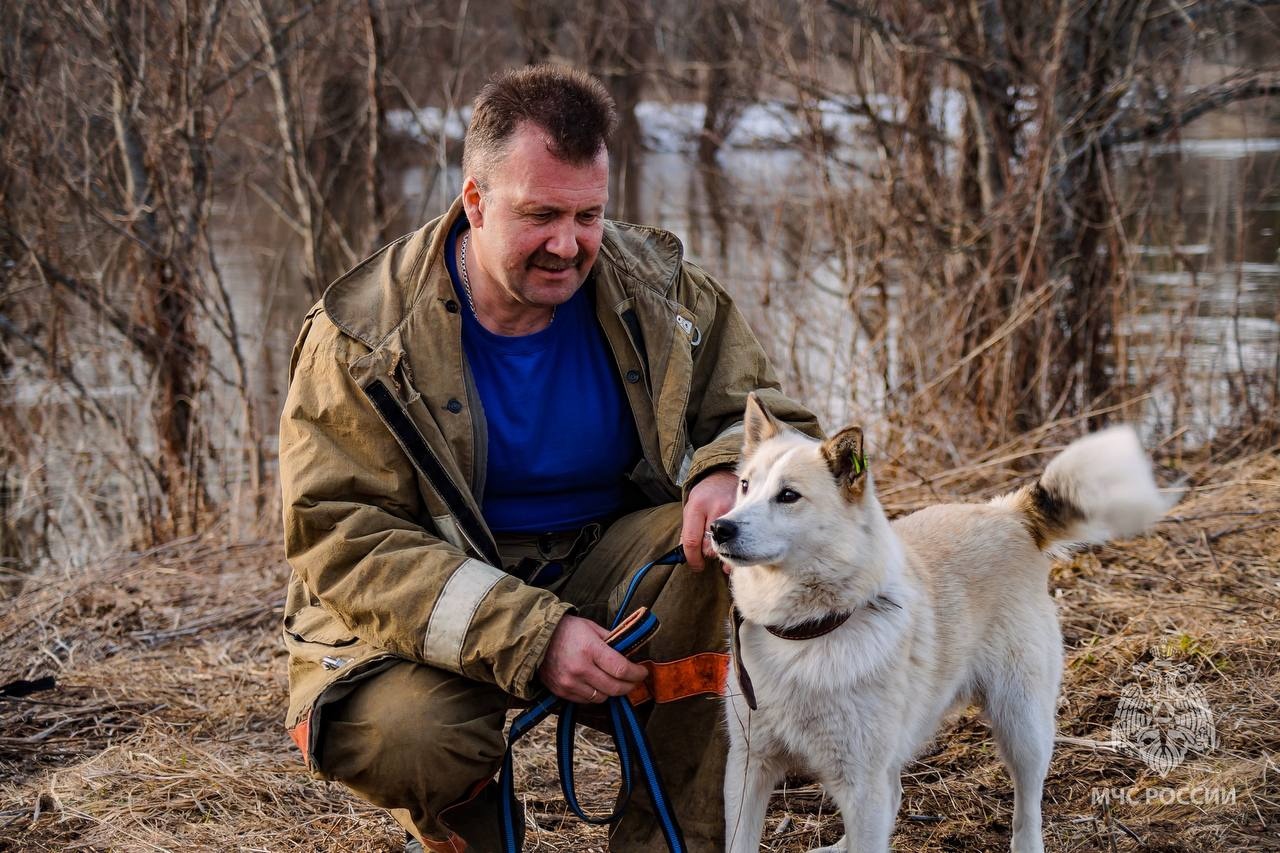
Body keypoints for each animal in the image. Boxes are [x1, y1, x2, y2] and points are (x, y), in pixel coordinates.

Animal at [716, 394, 1172, 850]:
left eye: (788, 496)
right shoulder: (749, 767)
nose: (719, 528)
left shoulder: (861, 783)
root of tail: (1009, 515)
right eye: (745, 486)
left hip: (1021, 723)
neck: (806, 631)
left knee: (1027, 804)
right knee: (894, 795)